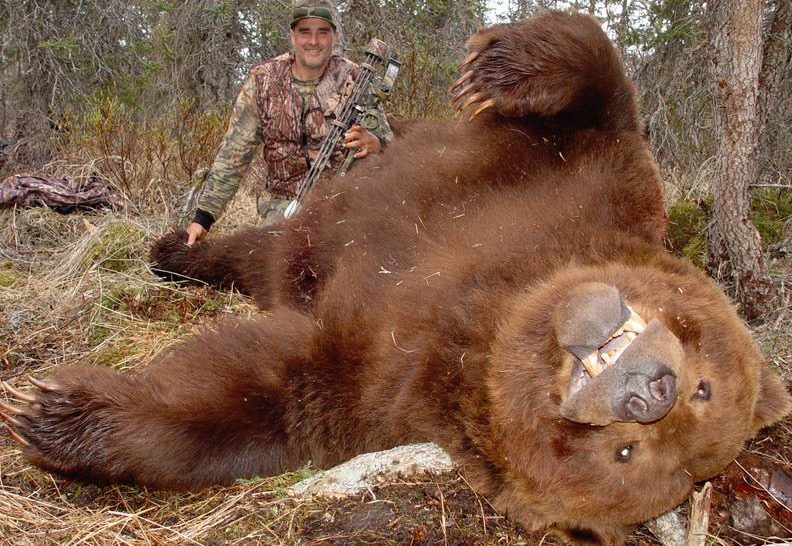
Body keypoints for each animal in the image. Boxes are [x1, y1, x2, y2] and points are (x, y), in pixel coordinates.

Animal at [2, 11, 790, 544]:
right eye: (703, 375)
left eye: (629, 456)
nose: (651, 388)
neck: (503, 291)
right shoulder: (582, 181)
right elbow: (597, 74)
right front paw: (493, 66)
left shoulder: (388, 375)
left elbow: (257, 395)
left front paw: (48, 410)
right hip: (316, 217)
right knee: (255, 240)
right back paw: (173, 246)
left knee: (262, 265)